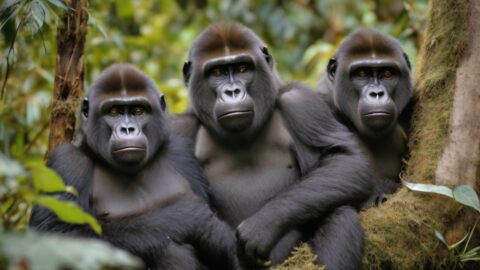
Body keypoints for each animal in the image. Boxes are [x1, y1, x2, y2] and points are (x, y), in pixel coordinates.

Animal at [29, 63, 236, 270]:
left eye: (138, 111)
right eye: (114, 112)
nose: (128, 129)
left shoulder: (182, 150)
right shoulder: (67, 162)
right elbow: (57, 235)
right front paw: (191, 217)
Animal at [176, 23, 376, 270]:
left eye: (243, 68)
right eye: (217, 73)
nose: (232, 92)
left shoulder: (300, 101)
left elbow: (346, 159)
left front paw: (262, 225)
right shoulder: (179, 130)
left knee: (339, 212)